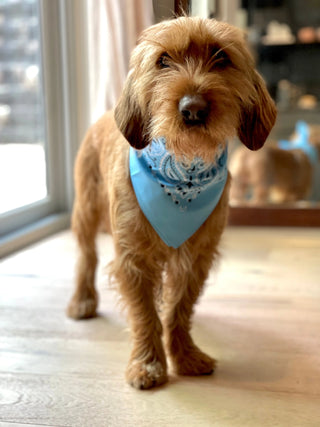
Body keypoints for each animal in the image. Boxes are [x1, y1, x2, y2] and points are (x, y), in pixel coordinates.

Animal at [67, 17, 276, 392]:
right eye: (163, 60)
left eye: (221, 57)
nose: (193, 108)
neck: (183, 170)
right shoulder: (133, 258)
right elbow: (144, 313)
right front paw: (148, 362)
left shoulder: (196, 258)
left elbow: (180, 307)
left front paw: (184, 354)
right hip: (86, 210)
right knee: (86, 256)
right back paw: (82, 299)